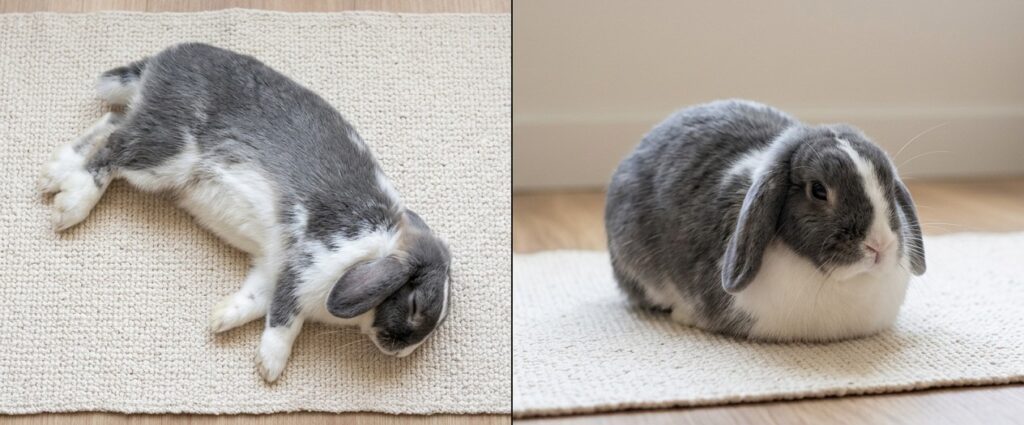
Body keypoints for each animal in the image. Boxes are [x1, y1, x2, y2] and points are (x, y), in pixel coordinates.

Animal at [39, 43, 451, 382]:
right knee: (112, 147)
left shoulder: (274, 267)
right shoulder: (306, 265)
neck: (375, 247)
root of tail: (159, 63)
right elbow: (285, 319)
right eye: (416, 305)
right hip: (163, 156)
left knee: (112, 123)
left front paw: (221, 319)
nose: (400, 351)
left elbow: (257, 299)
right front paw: (270, 366)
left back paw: (54, 173)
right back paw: (71, 204)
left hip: (151, 137)